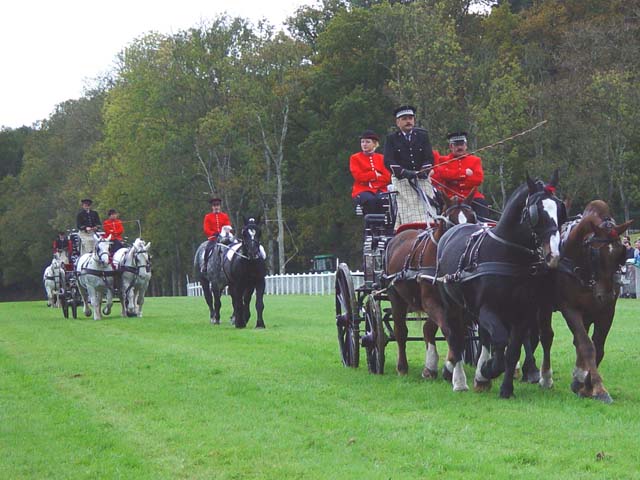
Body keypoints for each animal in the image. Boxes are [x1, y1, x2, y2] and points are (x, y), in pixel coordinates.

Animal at [382, 188, 478, 390]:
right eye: (450, 221)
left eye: (472, 218)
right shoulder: (430, 302)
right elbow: (450, 333)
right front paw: (456, 377)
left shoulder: (456, 306)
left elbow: (457, 334)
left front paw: (446, 368)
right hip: (396, 298)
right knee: (401, 331)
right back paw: (402, 367)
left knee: (427, 329)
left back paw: (430, 367)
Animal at [436, 172, 564, 398]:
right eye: (537, 212)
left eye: (559, 209)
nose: (553, 255)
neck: (507, 255)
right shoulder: (488, 309)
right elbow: (501, 340)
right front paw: (488, 370)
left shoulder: (522, 313)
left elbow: (512, 350)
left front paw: (504, 387)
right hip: (453, 306)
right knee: (456, 337)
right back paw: (459, 380)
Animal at [536, 201, 632, 404]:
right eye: (596, 254)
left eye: (619, 253)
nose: (606, 296)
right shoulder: (570, 309)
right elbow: (587, 346)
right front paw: (598, 388)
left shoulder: (606, 311)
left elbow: (598, 347)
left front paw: (584, 385)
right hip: (544, 306)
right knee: (547, 337)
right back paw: (546, 377)